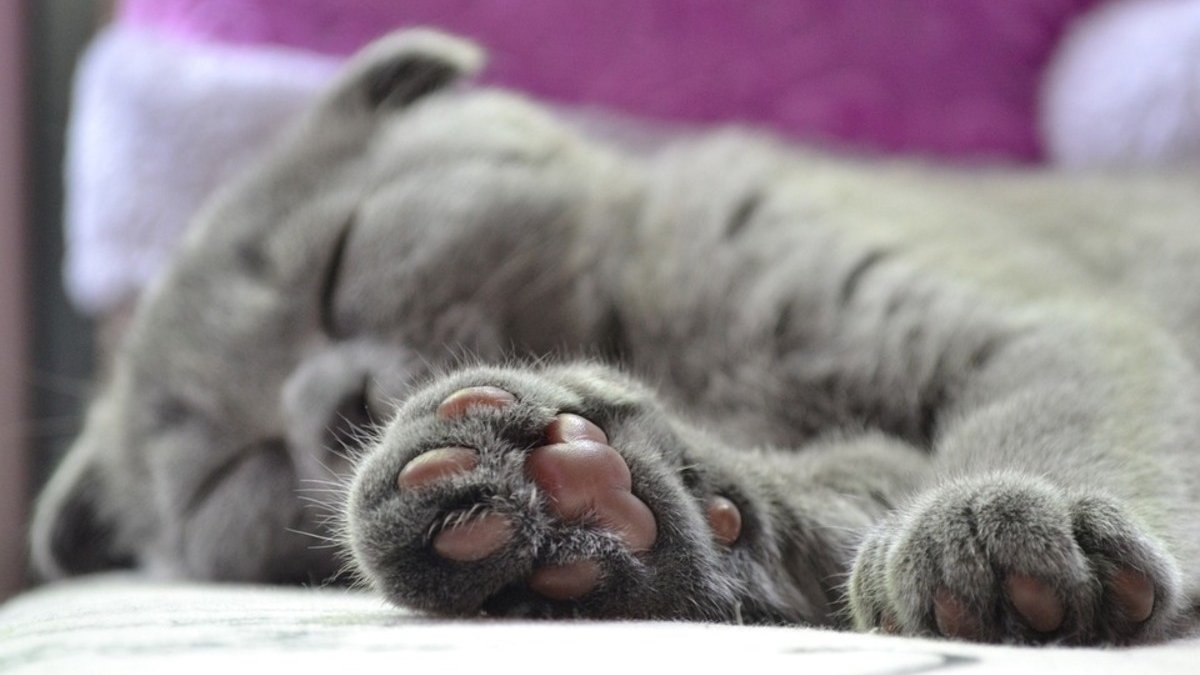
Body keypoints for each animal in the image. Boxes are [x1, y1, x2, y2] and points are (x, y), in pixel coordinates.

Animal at [28, 30, 1200, 638]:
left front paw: (1010, 519)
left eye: (337, 263)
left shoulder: (1029, 319)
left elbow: (1056, 398)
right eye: (233, 471)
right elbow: (833, 489)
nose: (333, 407)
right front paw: (606, 497)